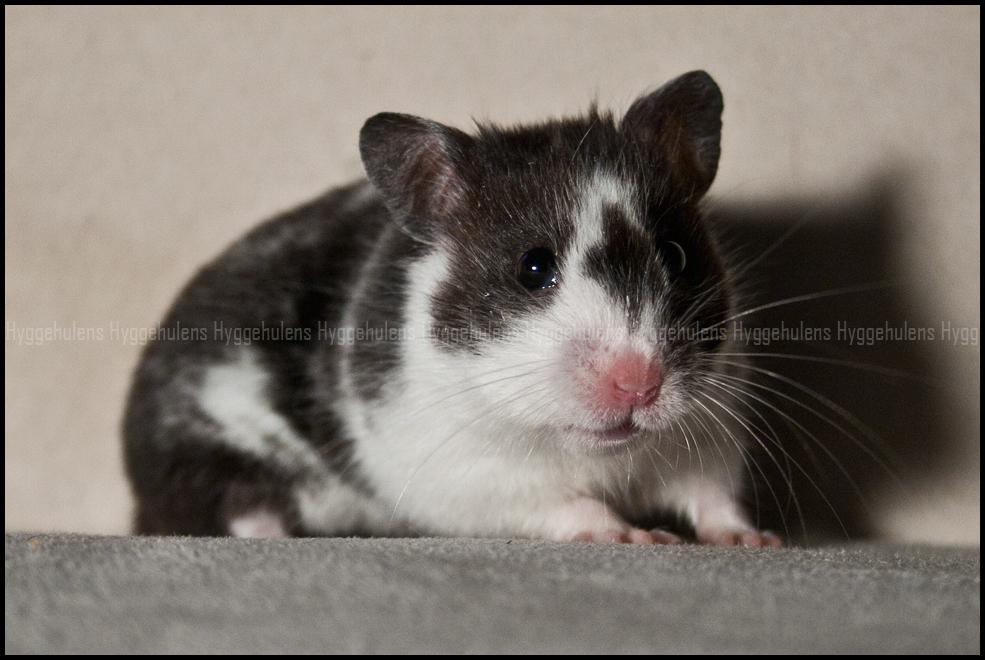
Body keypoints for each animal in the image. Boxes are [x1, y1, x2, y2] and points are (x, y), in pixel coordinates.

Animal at [123, 70, 780, 547]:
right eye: (532, 268)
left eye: (675, 255)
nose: (639, 382)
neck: (592, 451)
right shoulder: (463, 473)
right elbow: (566, 504)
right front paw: (640, 539)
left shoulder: (713, 426)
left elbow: (713, 495)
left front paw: (755, 542)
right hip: (208, 447)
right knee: (232, 504)